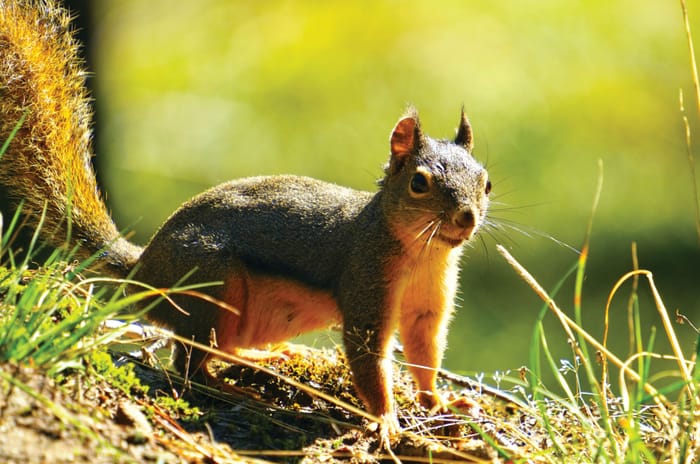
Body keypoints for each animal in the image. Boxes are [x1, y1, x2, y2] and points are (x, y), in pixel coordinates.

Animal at [0, 0, 490, 431]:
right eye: (419, 183)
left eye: (486, 183)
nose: (466, 218)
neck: (422, 252)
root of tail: (144, 271)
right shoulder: (365, 281)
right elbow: (369, 358)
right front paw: (388, 420)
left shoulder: (427, 306)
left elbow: (425, 355)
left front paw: (439, 401)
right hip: (215, 287)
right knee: (189, 364)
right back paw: (232, 387)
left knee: (223, 350)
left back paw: (267, 357)